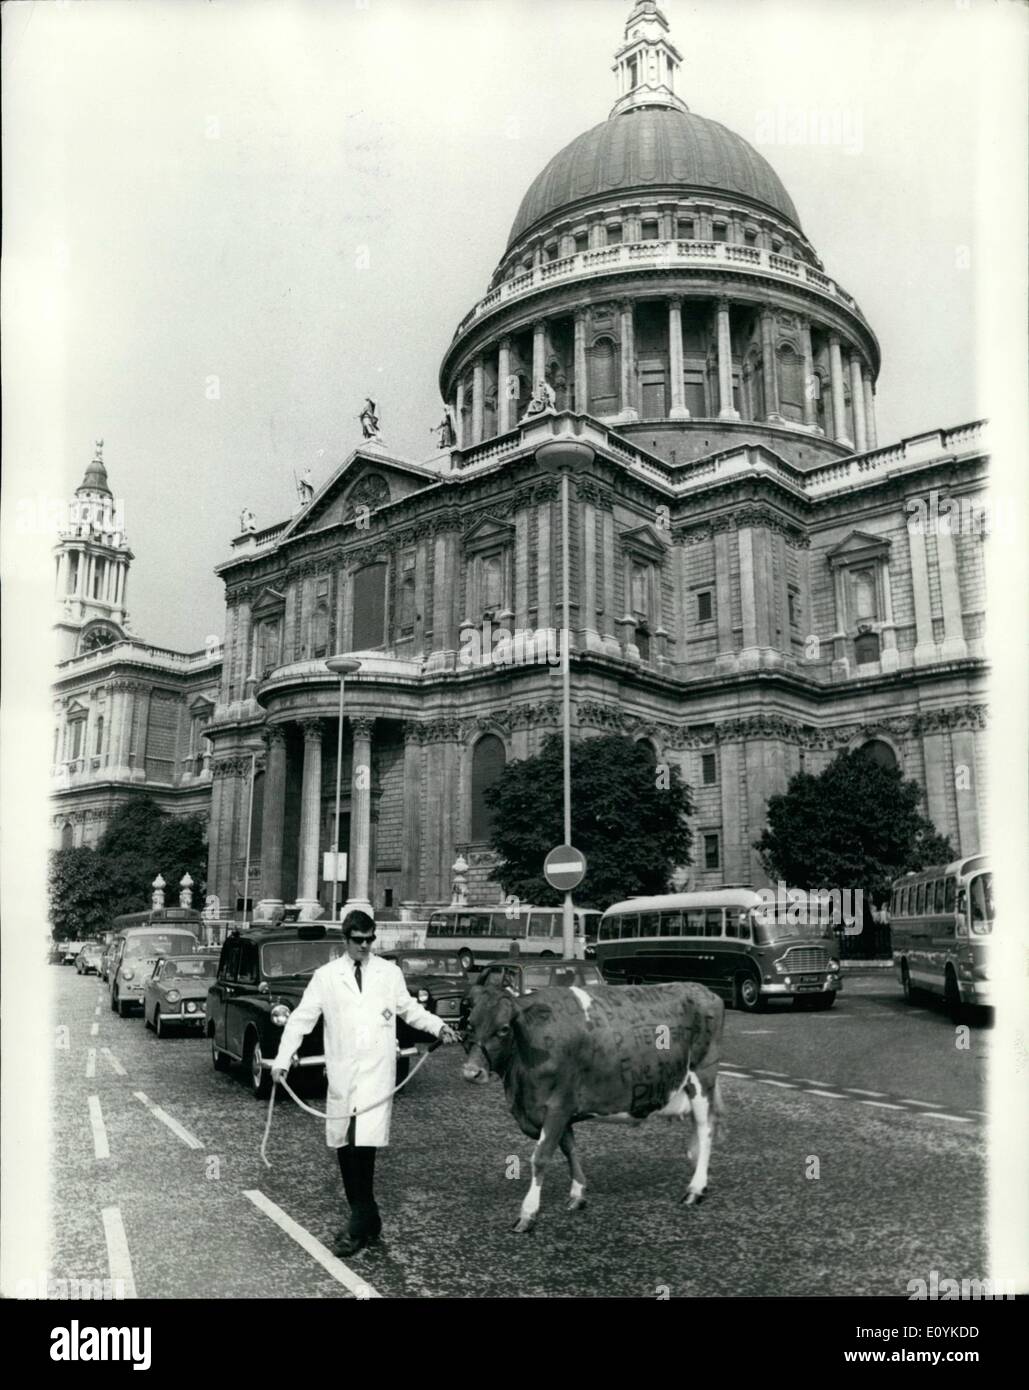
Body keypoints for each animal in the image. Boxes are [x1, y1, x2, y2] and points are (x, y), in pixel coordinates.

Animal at [462, 980, 725, 1233]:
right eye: (470, 1025)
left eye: (503, 1029)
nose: (471, 1072)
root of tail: (705, 991)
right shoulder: (563, 1110)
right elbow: (569, 1149)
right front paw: (578, 1194)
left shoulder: (557, 1106)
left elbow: (541, 1157)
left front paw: (527, 1213)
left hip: (702, 1078)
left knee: (706, 1129)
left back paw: (695, 1190)